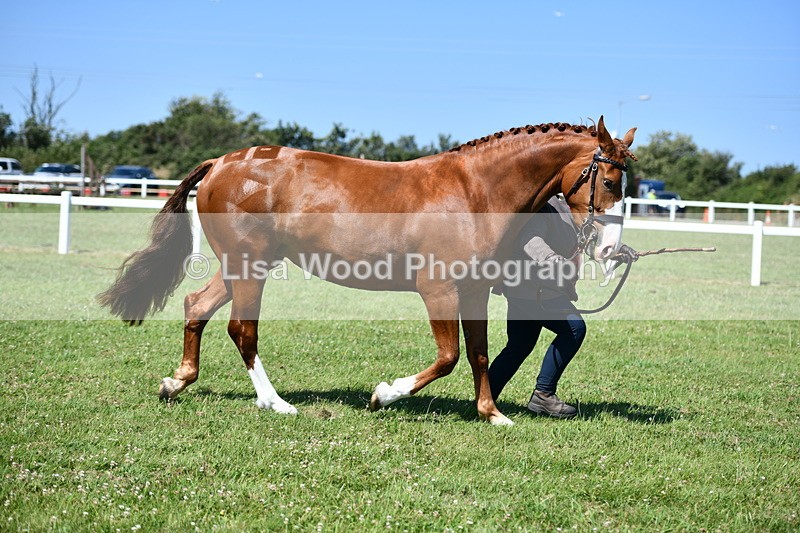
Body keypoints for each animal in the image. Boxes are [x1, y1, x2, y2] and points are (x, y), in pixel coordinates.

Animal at [98, 116, 636, 426]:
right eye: (610, 180)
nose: (611, 249)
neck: (473, 191)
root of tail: (221, 163)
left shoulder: (475, 292)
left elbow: (480, 355)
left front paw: (491, 414)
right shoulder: (438, 289)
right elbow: (448, 357)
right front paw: (383, 395)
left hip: (240, 266)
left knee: (197, 307)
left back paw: (176, 383)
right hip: (249, 268)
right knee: (241, 330)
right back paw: (276, 404)